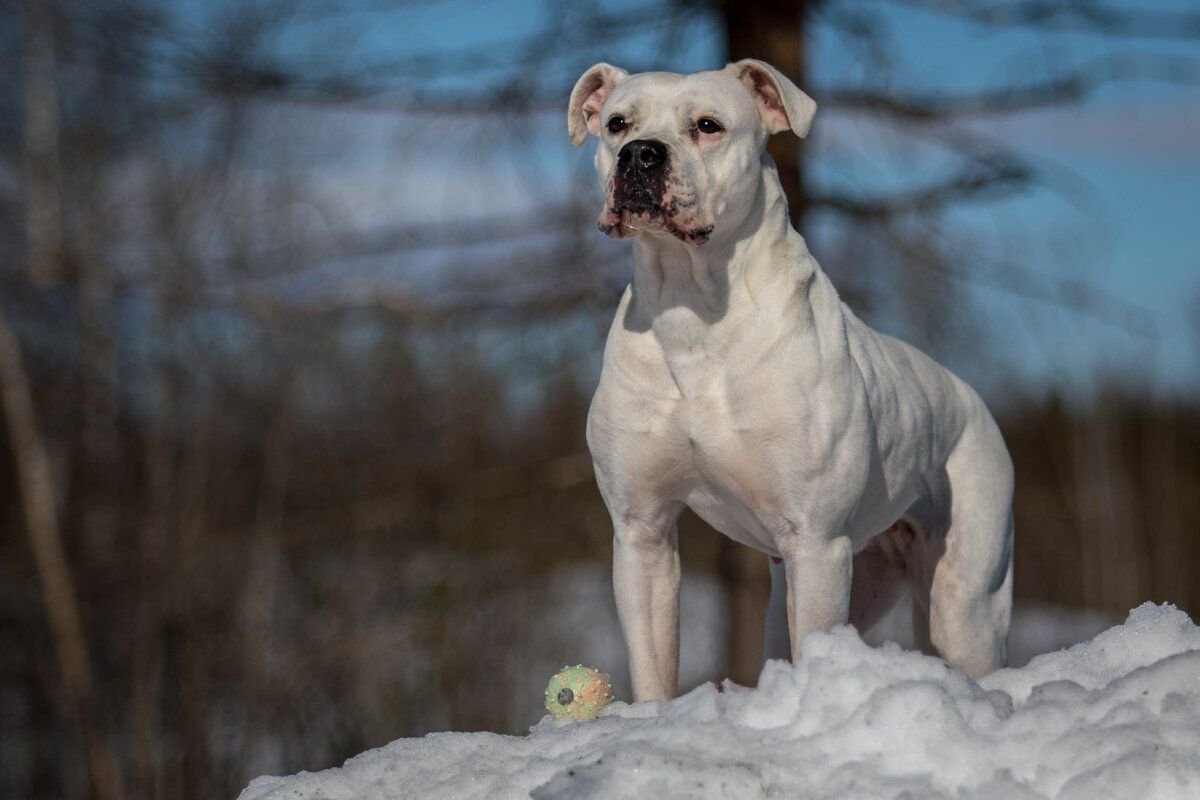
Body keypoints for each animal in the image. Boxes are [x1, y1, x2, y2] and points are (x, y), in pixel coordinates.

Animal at [568, 59, 1012, 700]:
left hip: (964, 601)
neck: (692, 310)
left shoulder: (816, 540)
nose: (640, 154)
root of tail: (970, 397)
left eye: (708, 125)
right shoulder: (640, 531)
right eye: (616, 124)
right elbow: (653, 662)